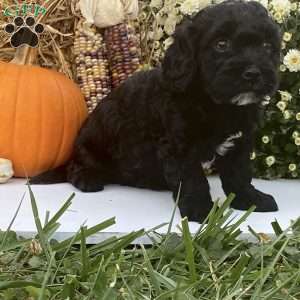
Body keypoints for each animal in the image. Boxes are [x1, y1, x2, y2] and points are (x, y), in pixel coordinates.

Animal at [31, 0, 282, 223]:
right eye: (222, 44)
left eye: (267, 46)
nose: (253, 73)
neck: (217, 105)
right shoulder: (179, 147)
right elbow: (193, 179)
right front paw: (201, 210)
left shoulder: (240, 142)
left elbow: (239, 174)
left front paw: (251, 200)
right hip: (92, 142)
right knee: (76, 166)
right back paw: (87, 178)